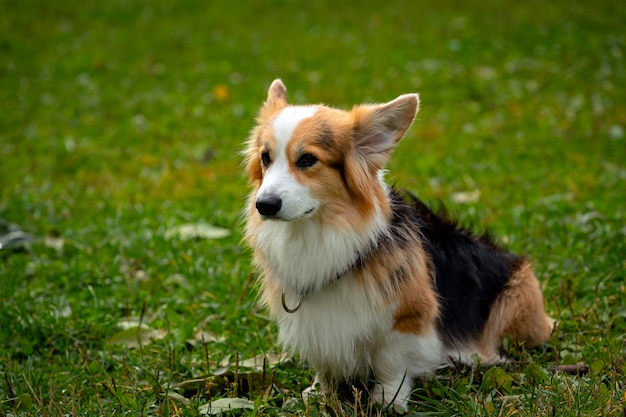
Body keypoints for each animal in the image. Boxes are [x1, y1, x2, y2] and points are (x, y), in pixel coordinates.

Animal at [241, 79, 552, 408]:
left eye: (307, 160)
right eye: (265, 157)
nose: (264, 205)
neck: (317, 231)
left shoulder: (407, 319)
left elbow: (392, 364)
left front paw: (388, 400)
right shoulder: (316, 324)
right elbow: (323, 362)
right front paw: (319, 392)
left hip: (516, 300)